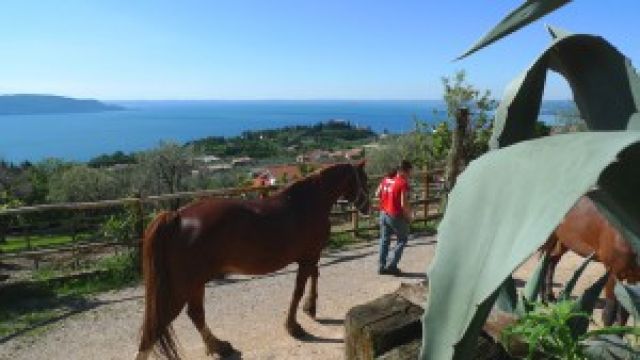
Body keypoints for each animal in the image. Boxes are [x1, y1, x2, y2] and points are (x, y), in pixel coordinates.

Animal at [540, 195, 640, 324]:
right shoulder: (612, 272)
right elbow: (609, 313)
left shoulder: (634, 277)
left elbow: (624, 314)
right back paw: (543, 300)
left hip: (563, 241)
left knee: (551, 261)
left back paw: (550, 297)